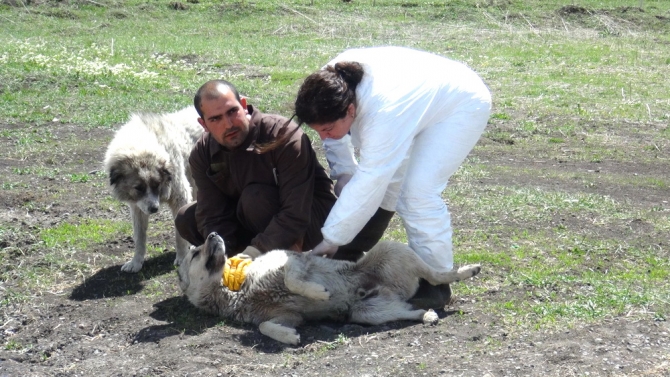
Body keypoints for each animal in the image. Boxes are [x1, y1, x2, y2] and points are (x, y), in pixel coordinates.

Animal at [103, 106, 203, 270]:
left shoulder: (180, 197)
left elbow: (179, 236)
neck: (141, 141)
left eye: (157, 184)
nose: (154, 209)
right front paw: (136, 262)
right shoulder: (138, 207)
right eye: (138, 188)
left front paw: (182, 257)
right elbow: (139, 237)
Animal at [178, 232, 484, 344]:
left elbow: (291, 279)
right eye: (195, 253)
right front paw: (289, 336)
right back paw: (427, 315)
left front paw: (317, 292)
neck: (238, 288)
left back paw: (468, 270)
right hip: (368, 313)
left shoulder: (291, 260)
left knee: (437, 273)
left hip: (392, 250)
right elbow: (266, 326)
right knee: (408, 310)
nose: (213, 233)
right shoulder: (287, 316)